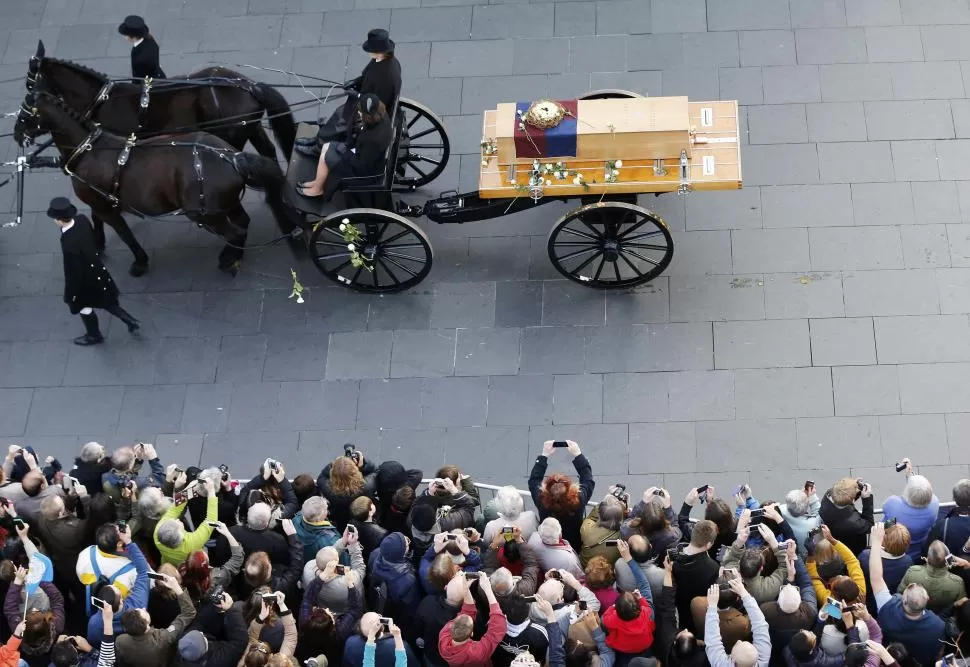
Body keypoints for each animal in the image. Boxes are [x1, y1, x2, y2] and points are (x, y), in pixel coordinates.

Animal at [15, 90, 294, 276]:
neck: (89, 149)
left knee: (235, 231)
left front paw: (139, 260)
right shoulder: (100, 202)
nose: (17, 134)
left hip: (203, 214)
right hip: (224, 205)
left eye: (25, 114)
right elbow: (97, 220)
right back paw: (233, 253)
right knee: (242, 223)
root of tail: (233, 157)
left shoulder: (106, 207)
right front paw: (97, 243)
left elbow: (125, 234)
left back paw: (229, 259)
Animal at [28, 40, 296, 163]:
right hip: (250, 127)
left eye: (31, 82)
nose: (26, 108)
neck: (105, 100)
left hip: (231, 136)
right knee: (268, 151)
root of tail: (247, 85)